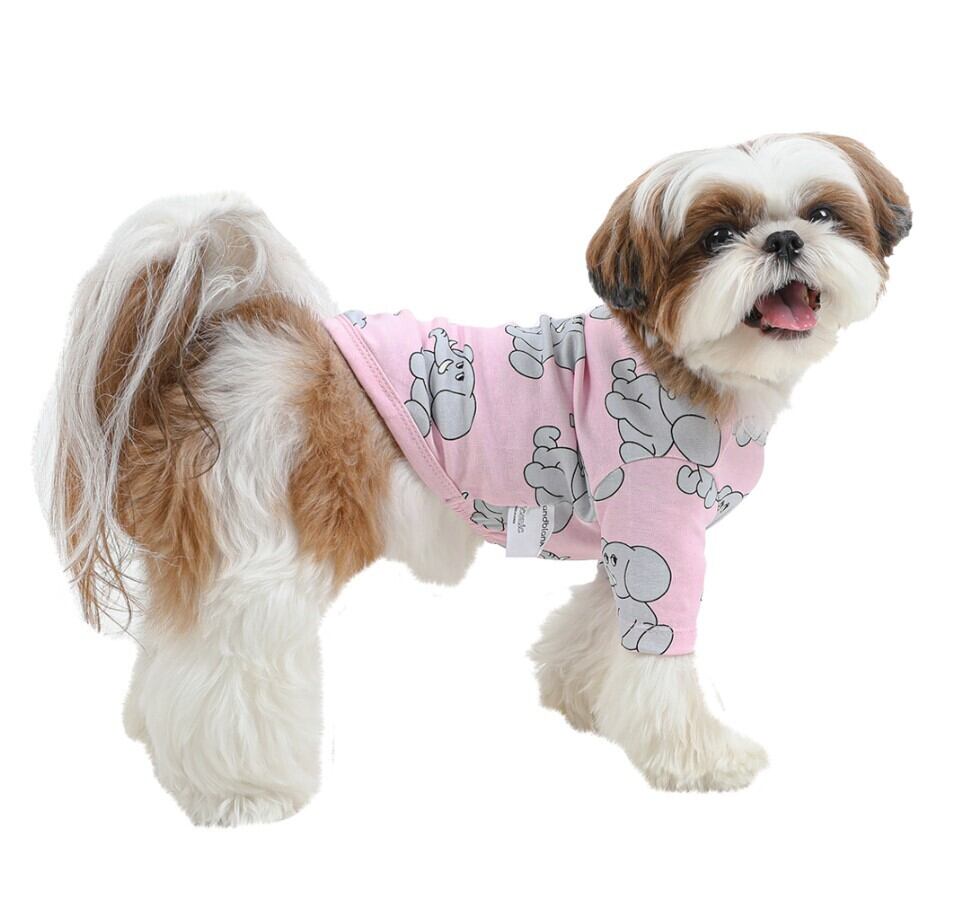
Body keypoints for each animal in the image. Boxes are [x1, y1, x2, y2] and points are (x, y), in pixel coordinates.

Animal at [41, 133, 910, 825]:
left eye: (823, 214)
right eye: (719, 234)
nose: (784, 240)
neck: (681, 366)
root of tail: (217, 336)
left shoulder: (624, 542)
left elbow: (601, 620)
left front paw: (581, 693)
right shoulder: (661, 530)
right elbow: (662, 659)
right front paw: (703, 758)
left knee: (175, 650)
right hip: (262, 553)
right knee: (227, 672)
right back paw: (239, 789)